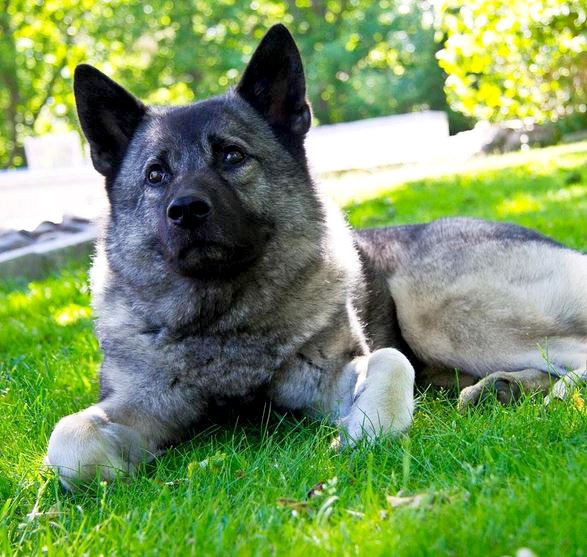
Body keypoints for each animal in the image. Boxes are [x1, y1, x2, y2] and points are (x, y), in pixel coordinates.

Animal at [47, 25, 587, 486]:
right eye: (156, 175)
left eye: (232, 156)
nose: (186, 211)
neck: (224, 317)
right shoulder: (138, 401)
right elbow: (68, 440)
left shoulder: (336, 375)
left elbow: (391, 362)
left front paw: (365, 429)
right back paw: (503, 389)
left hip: (435, 311)